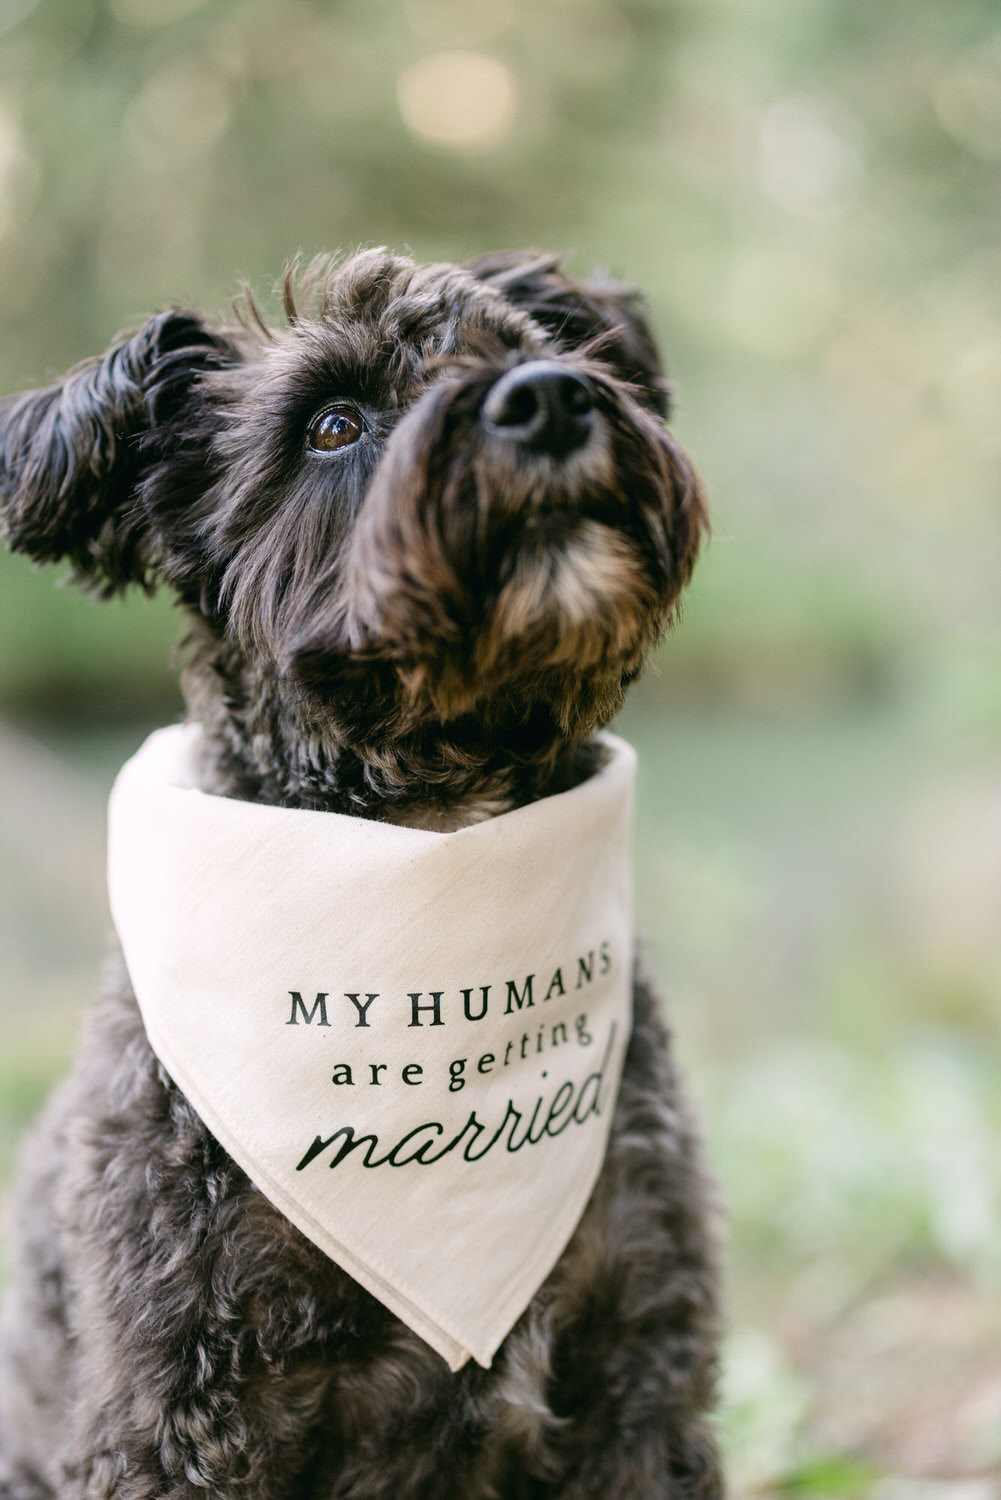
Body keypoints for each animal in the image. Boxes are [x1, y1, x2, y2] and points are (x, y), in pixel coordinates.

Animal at [0, 249, 720, 1500]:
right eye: (331, 424)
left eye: (532, 347)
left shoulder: (641, 1370)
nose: (549, 398)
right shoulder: (177, 1416)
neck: (435, 841)